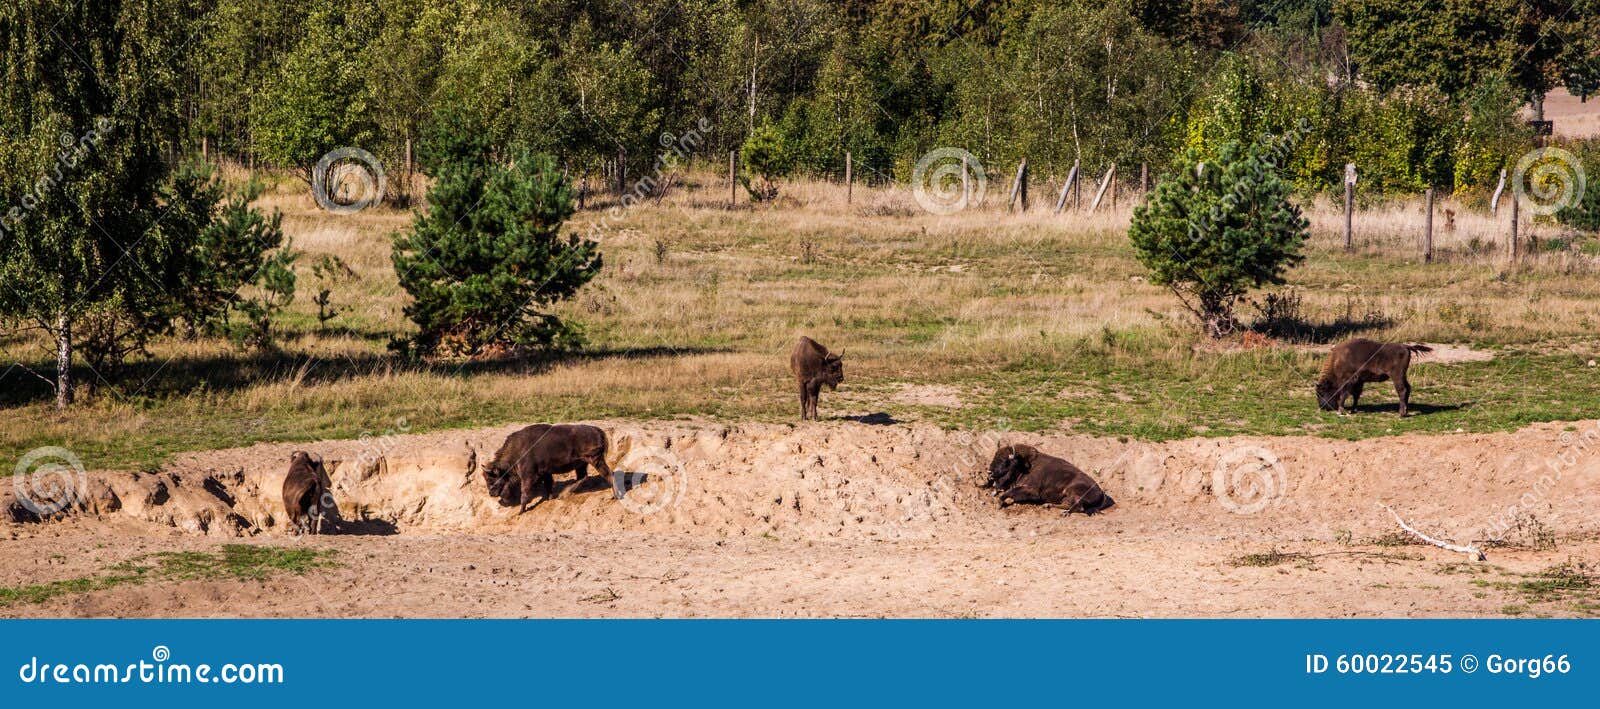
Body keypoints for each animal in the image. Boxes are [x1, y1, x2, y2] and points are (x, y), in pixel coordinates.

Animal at [483, 424, 619, 512]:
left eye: (491, 478)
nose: (491, 493)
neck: (518, 449)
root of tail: (597, 430)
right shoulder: (545, 473)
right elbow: (548, 485)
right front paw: (550, 498)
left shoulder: (528, 476)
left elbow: (525, 492)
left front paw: (521, 511)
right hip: (582, 464)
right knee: (583, 477)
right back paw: (564, 494)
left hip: (595, 460)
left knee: (608, 474)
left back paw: (615, 496)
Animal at [982, 444, 1114, 515]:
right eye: (995, 456)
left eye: (1004, 461)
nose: (989, 472)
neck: (1023, 465)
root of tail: (1101, 492)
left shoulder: (1032, 491)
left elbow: (1008, 493)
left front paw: (999, 504)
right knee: (1067, 504)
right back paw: (1047, 505)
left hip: (1072, 491)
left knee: (1078, 507)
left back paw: (1063, 513)